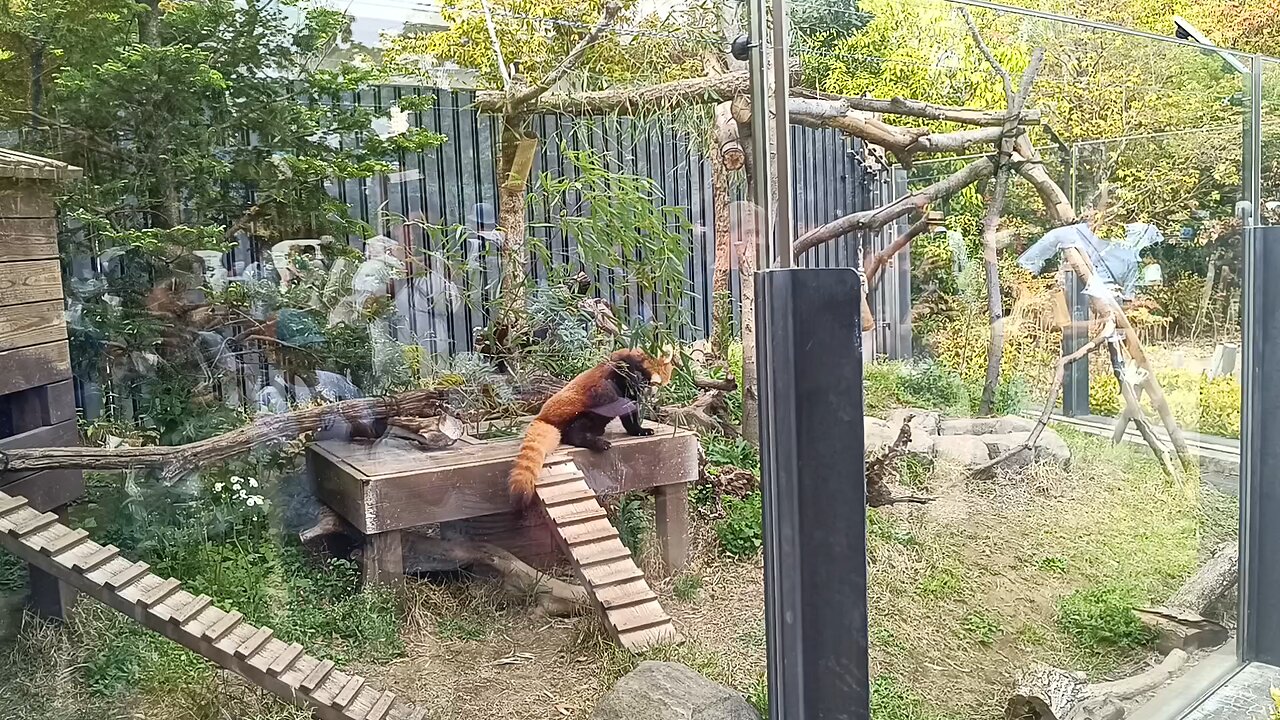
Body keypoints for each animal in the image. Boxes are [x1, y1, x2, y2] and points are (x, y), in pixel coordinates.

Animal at [506, 345, 680, 504]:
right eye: (656, 384)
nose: (654, 395)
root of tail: (543, 417)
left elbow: (630, 414)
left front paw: (640, 430)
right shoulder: (619, 369)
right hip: (584, 406)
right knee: (578, 426)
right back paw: (596, 441)